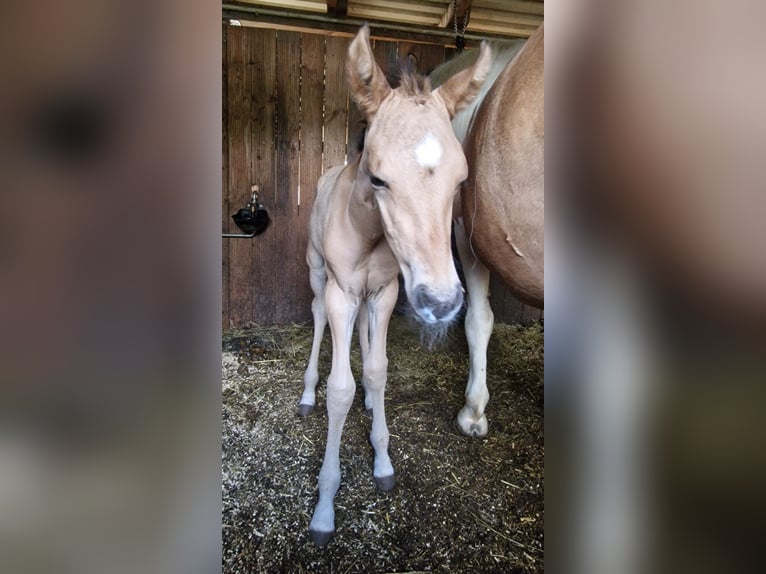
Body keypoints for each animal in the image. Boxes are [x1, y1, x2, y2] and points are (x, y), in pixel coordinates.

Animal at [300, 24, 492, 548]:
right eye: (378, 177)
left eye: (461, 181)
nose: (441, 301)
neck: (366, 231)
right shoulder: (342, 292)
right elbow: (340, 388)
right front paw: (324, 508)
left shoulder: (385, 293)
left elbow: (378, 370)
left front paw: (382, 460)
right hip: (317, 273)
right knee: (317, 317)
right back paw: (306, 394)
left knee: (367, 339)